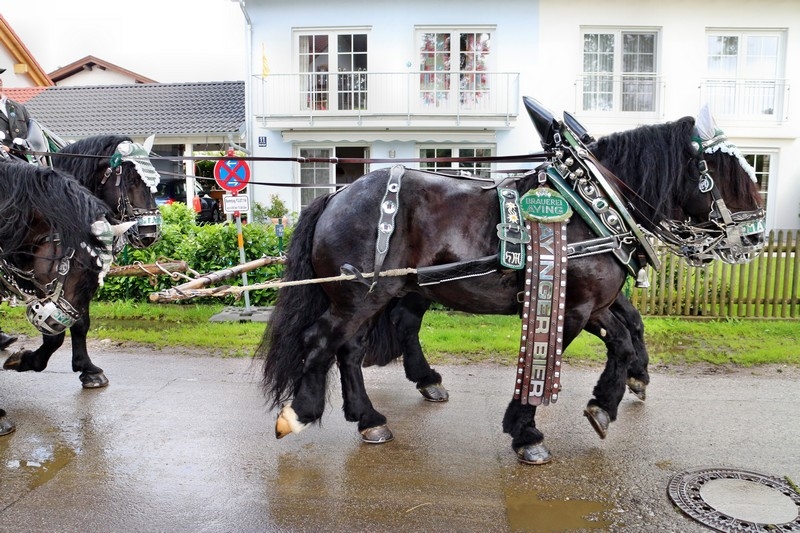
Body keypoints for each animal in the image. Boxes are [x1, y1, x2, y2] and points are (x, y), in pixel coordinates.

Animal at [2, 135, 162, 386]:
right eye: (132, 179)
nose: (150, 232)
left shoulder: (80, 286)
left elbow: (80, 323)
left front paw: (87, 368)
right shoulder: (46, 281)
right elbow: (56, 336)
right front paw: (27, 359)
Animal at [260, 104, 764, 462]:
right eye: (727, 171)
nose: (756, 236)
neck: (593, 205)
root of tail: (337, 194)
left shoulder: (596, 303)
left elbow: (627, 335)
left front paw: (611, 398)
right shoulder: (574, 306)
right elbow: (570, 355)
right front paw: (527, 431)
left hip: (380, 294)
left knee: (352, 348)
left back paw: (370, 418)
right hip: (360, 296)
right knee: (323, 340)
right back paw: (301, 413)